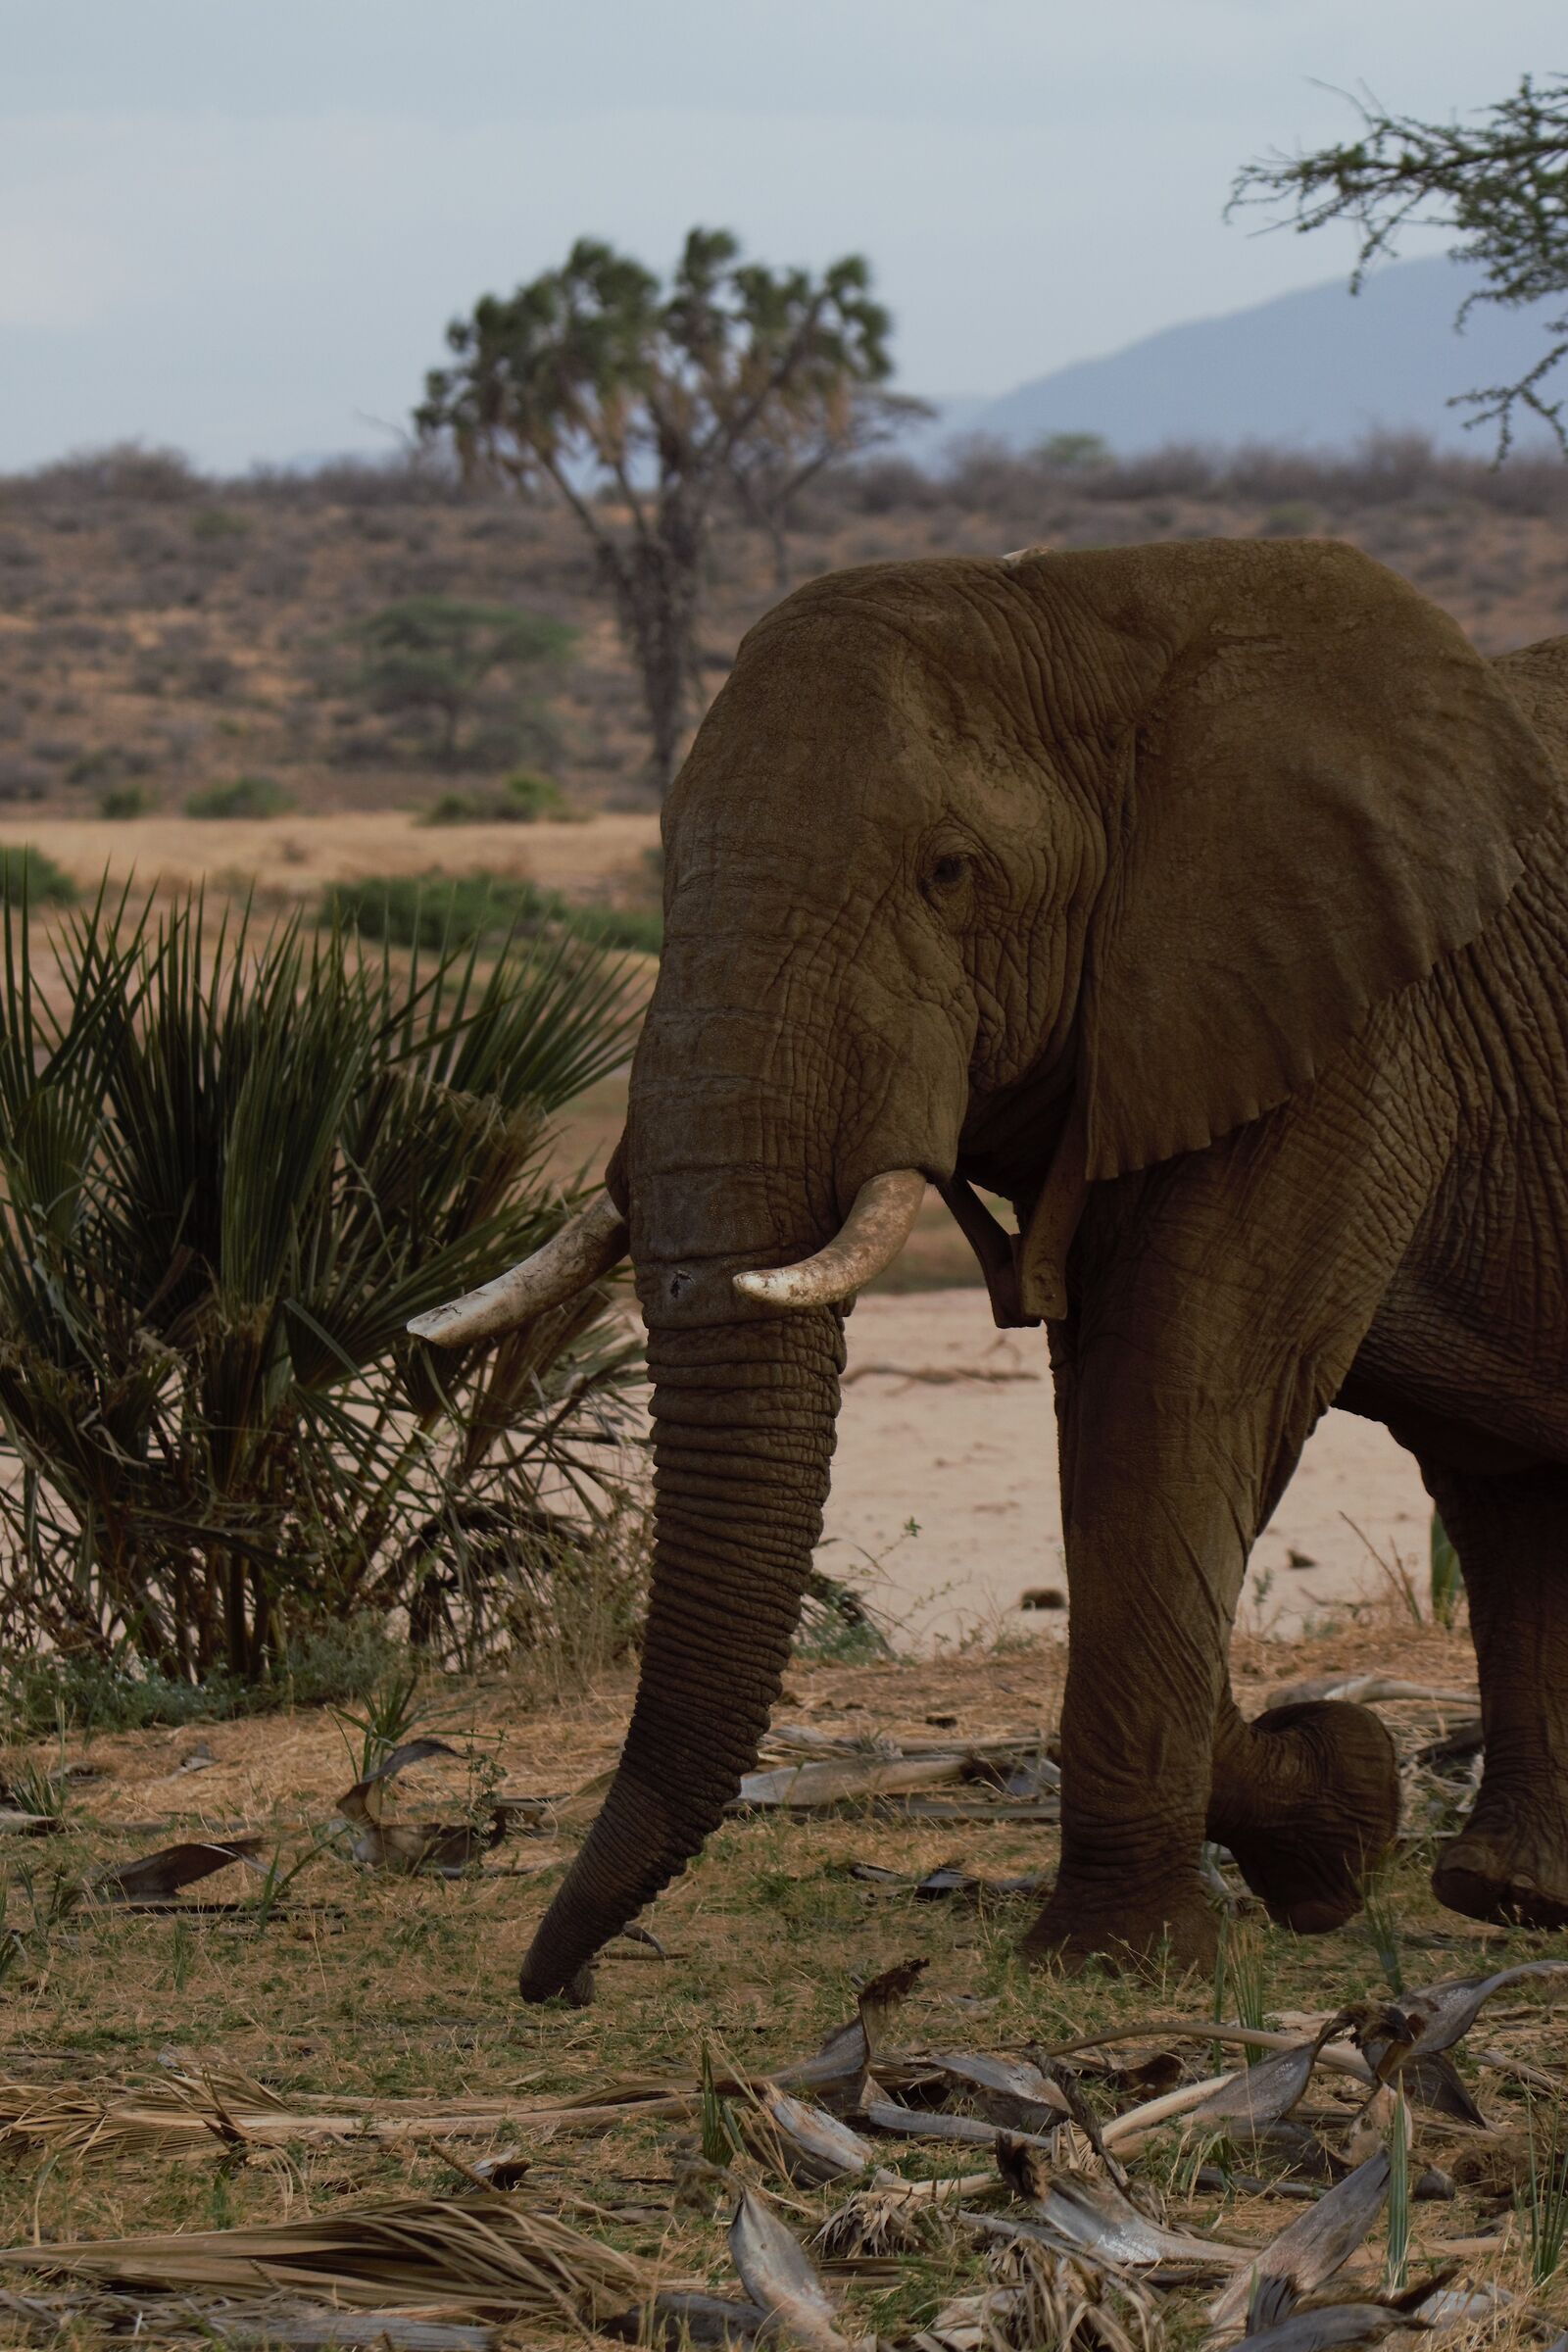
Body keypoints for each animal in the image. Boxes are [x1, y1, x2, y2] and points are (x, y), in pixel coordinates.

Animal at [412, 536, 1568, 1999]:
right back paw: (1510, 1896)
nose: (556, 1982)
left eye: (950, 872)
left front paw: (1121, 1961)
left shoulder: (1357, 1019)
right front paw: (1332, 1815)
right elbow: (1114, 1434)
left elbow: (1175, 1397)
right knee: (1506, 1486)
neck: (1085, 597)